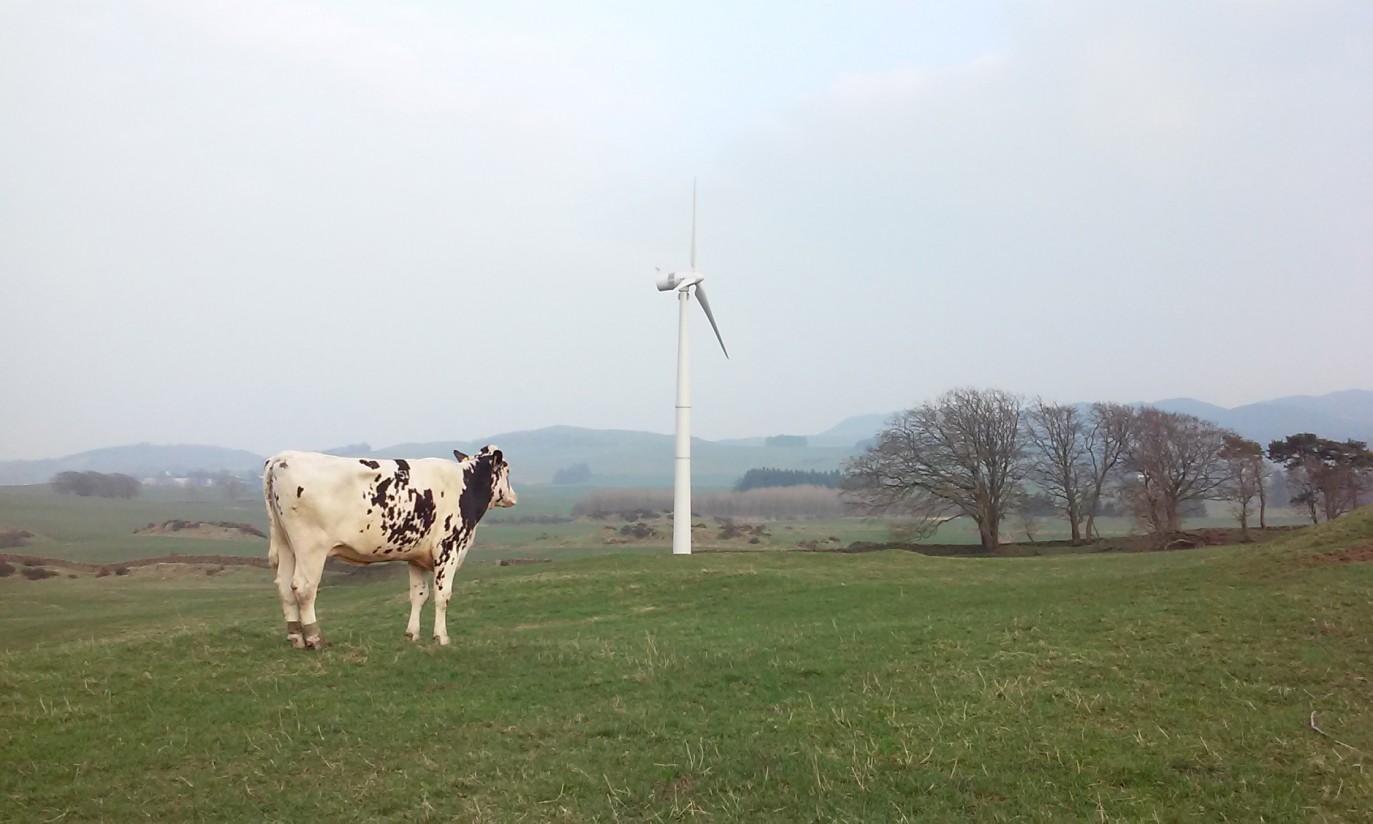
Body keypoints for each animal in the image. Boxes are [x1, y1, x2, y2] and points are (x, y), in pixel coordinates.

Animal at [258, 447, 516, 648]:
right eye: (507, 469)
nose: (513, 497)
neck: (466, 484)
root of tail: (283, 457)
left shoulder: (416, 556)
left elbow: (418, 595)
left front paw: (412, 634)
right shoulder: (448, 549)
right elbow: (442, 595)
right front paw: (441, 637)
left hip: (286, 544)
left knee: (284, 586)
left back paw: (296, 637)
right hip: (311, 548)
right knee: (303, 588)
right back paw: (314, 638)